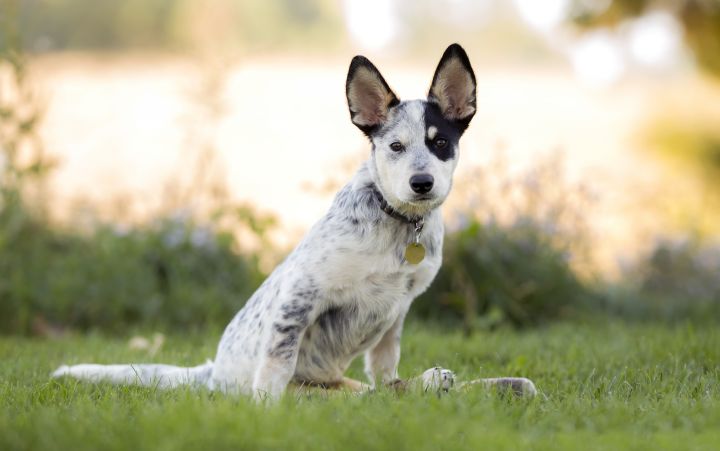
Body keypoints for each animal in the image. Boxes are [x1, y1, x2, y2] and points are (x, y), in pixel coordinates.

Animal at [52, 44, 536, 400]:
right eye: (395, 146)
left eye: (440, 144)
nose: (422, 183)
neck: (398, 224)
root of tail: (211, 373)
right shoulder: (303, 291)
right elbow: (279, 361)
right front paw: (267, 409)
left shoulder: (399, 308)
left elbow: (385, 370)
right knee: (353, 395)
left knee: (384, 391)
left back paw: (474, 383)